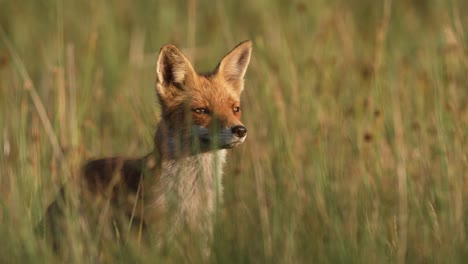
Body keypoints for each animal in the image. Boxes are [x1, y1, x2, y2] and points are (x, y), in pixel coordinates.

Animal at [44, 40, 252, 249]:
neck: (190, 196)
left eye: (235, 109)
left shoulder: (203, 237)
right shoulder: (156, 237)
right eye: (200, 110)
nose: (240, 130)